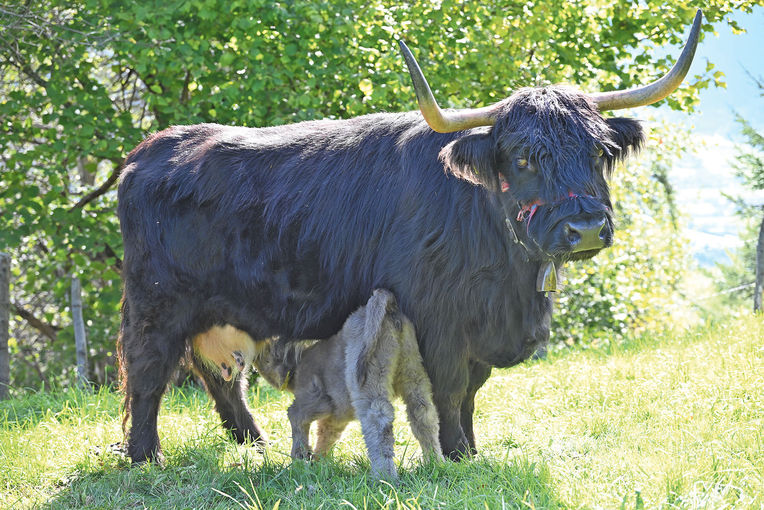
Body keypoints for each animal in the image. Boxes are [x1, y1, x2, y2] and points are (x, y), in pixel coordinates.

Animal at [116, 9, 700, 462]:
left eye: (599, 151)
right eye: (523, 157)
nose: (584, 227)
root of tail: (149, 151)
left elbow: (472, 390)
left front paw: (472, 450)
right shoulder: (436, 318)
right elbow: (450, 388)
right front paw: (455, 453)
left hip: (219, 315)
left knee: (221, 378)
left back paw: (254, 444)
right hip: (157, 304)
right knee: (148, 373)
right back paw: (147, 456)